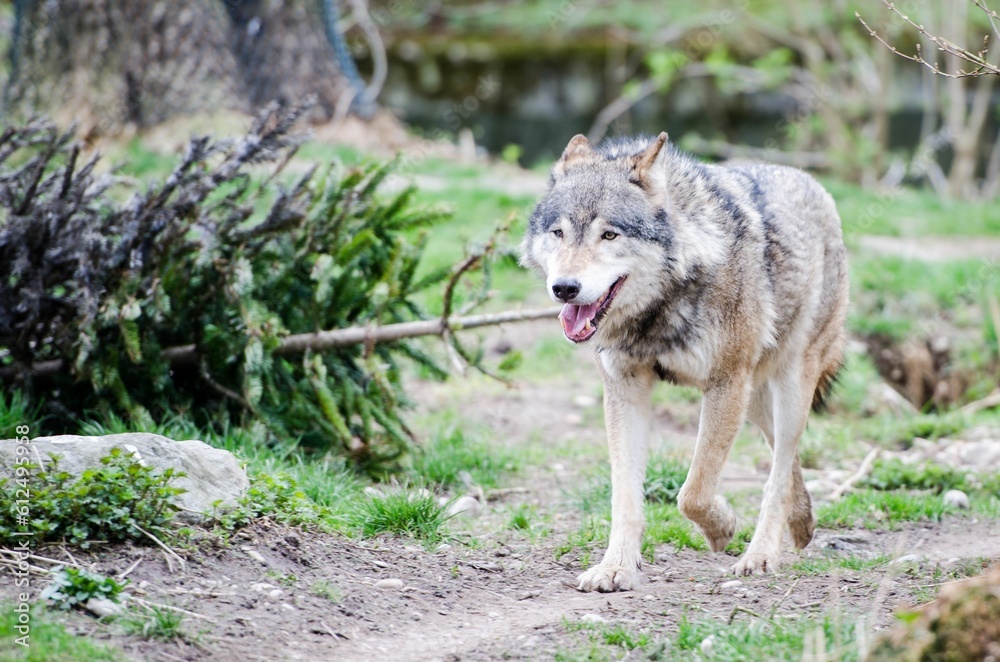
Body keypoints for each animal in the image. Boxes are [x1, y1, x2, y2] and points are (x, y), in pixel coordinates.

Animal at [520, 134, 848, 592]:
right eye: (558, 232)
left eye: (609, 234)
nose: (565, 288)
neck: (661, 303)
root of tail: (813, 183)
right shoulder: (625, 391)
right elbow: (625, 498)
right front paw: (615, 568)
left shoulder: (726, 383)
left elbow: (692, 492)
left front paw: (722, 528)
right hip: (755, 400)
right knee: (787, 456)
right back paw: (802, 523)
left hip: (789, 385)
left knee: (779, 468)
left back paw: (761, 554)